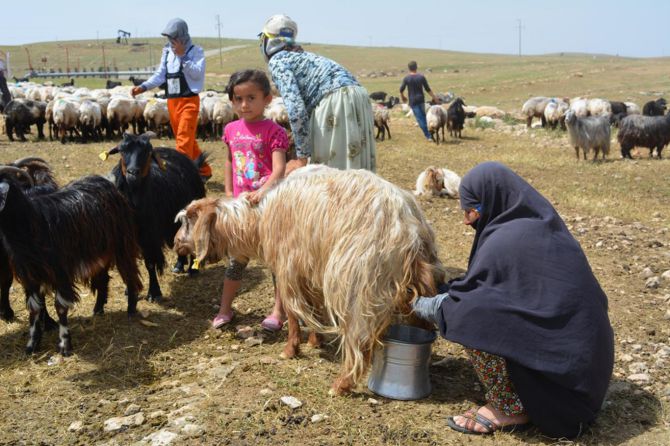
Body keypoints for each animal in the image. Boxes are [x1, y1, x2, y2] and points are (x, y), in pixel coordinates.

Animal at [0, 167, 142, 356]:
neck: (32, 223)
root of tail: (106, 182)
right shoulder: (30, 275)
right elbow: (34, 308)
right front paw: (32, 345)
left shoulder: (61, 271)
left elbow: (60, 307)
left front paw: (65, 346)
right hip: (99, 252)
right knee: (103, 278)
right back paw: (98, 310)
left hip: (122, 242)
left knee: (130, 272)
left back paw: (131, 310)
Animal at [102, 131, 206, 302]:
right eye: (122, 150)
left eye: (147, 152)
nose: (133, 173)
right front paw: (129, 290)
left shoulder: (149, 236)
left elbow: (150, 263)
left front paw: (154, 292)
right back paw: (179, 265)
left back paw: (192, 269)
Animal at [173, 166, 446, 394]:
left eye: (187, 221)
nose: (176, 244)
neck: (258, 220)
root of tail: (408, 227)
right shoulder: (310, 267)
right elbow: (314, 306)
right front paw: (316, 340)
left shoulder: (287, 267)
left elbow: (293, 313)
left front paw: (290, 350)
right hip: (416, 276)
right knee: (421, 322)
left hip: (358, 282)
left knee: (361, 339)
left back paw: (342, 384)